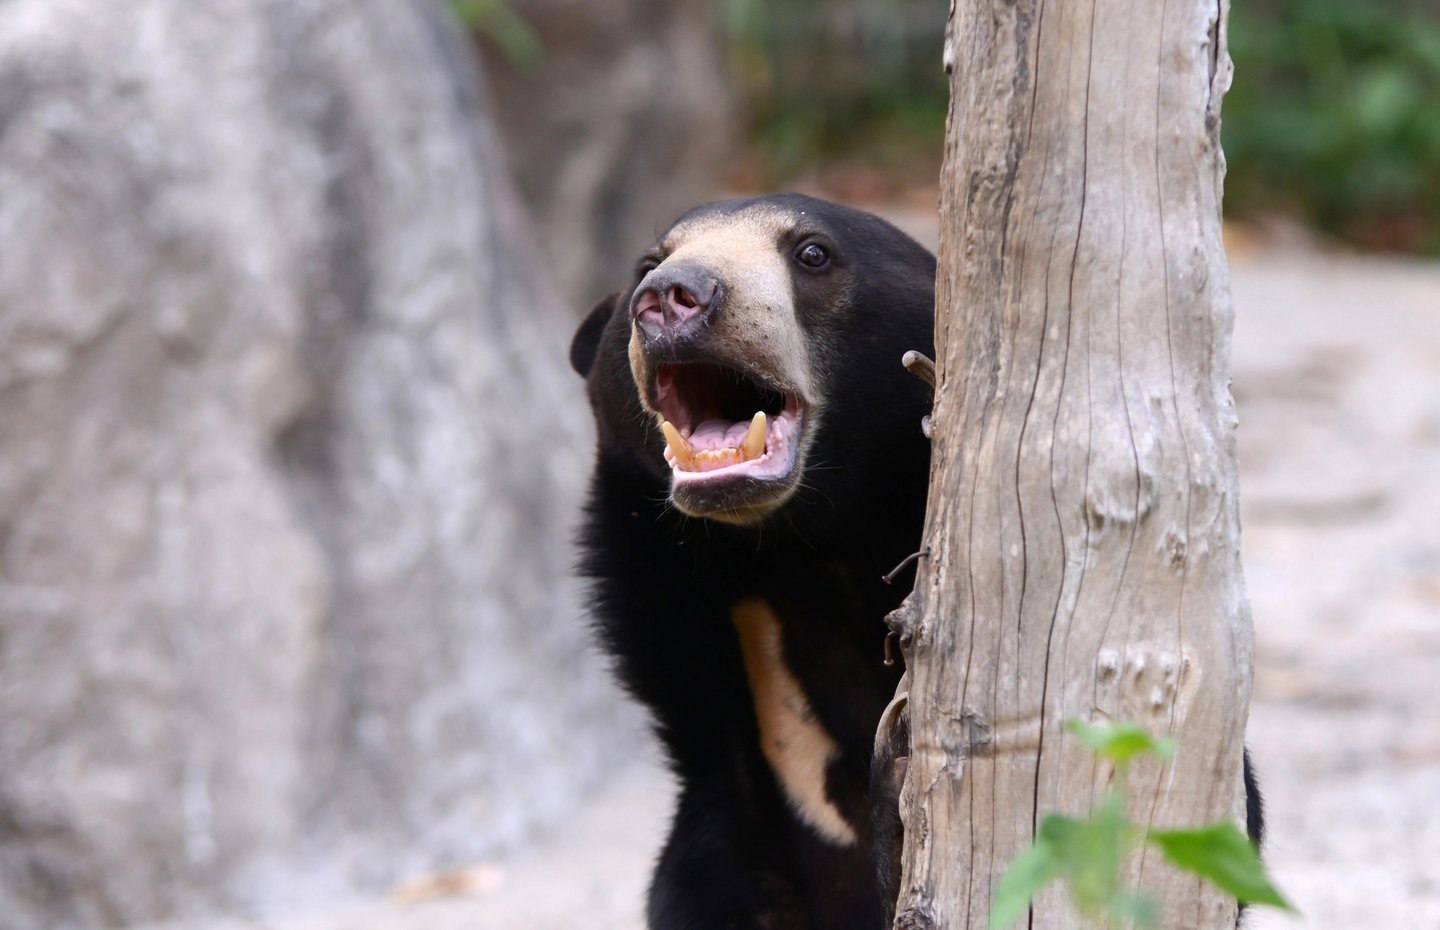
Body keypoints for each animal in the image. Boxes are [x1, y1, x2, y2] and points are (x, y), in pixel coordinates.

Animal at [569, 192, 1263, 930]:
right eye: (649, 262)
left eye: (812, 253)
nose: (671, 296)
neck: (806, 552)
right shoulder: (720, 836)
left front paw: (899, 783)